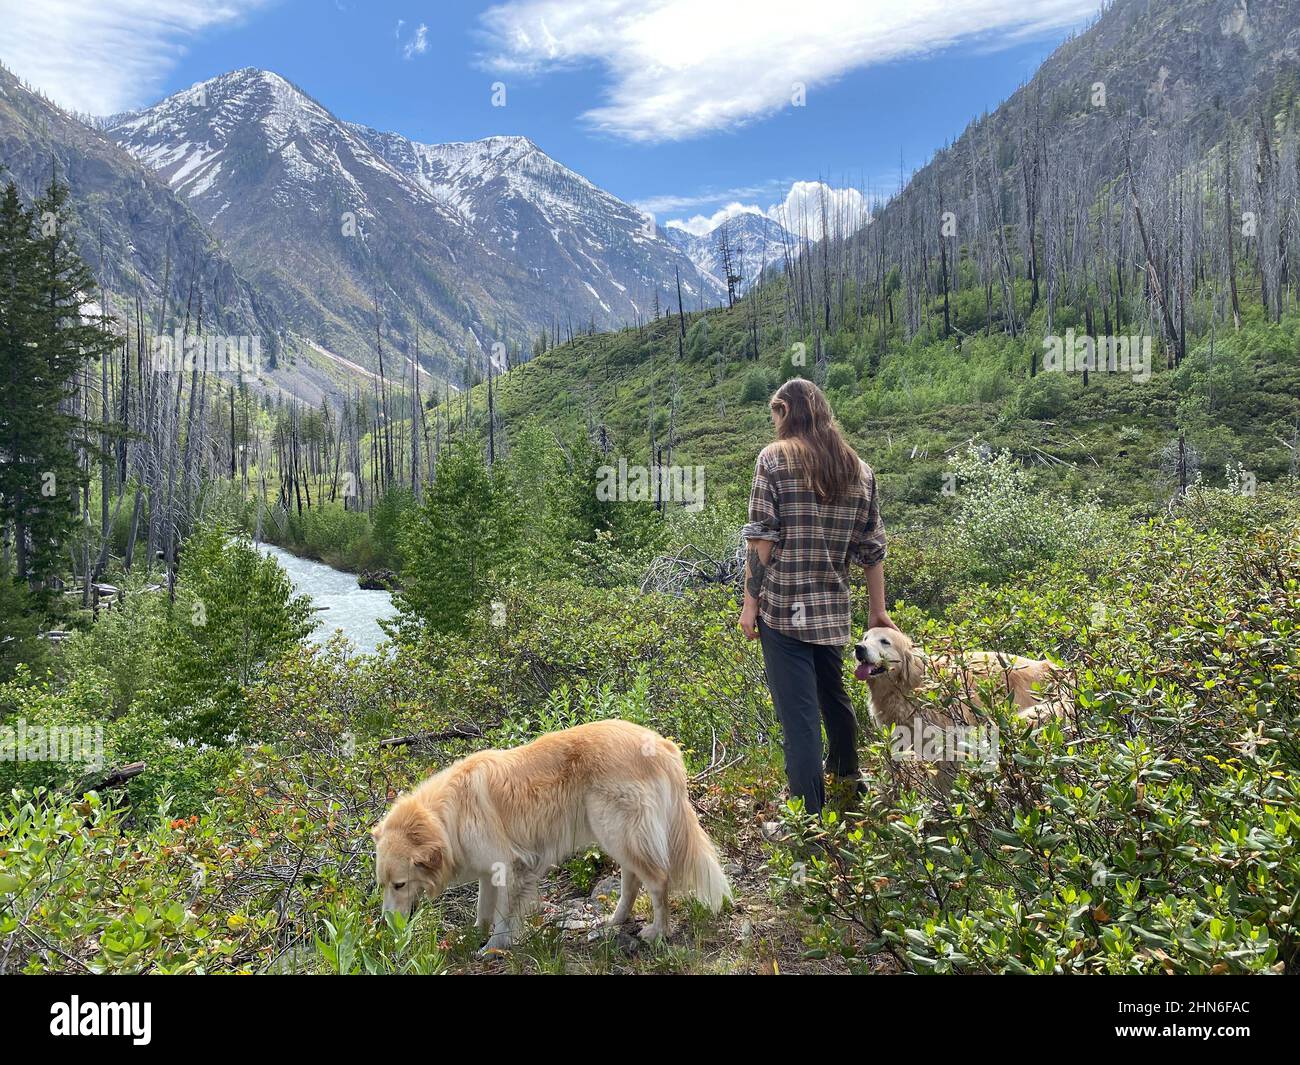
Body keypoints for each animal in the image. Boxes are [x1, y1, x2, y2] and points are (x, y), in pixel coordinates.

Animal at [374, 723, 733, 951]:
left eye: (400, 885)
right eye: (383, 885)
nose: (386, 925)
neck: (445, 817)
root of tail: (662, 745)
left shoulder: (510, 866)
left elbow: (503, 914)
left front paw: (495, 946)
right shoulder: (489, 872)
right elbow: (483, 909)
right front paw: (474, 937)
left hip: (619, 831)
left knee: (658, 881)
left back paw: (658, 932)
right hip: (615, 835)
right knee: (632, 881)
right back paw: (614, 922)